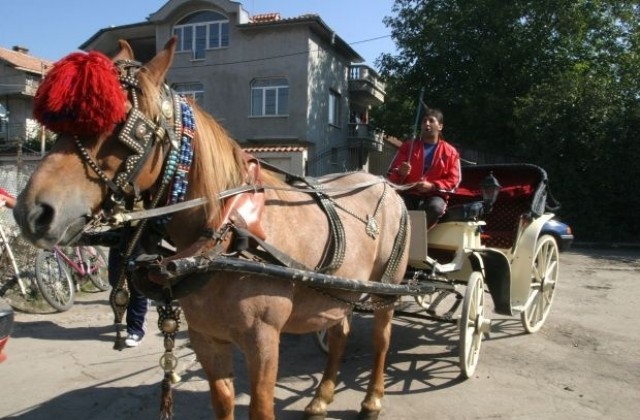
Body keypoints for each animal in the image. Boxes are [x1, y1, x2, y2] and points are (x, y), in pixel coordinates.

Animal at [13, 37, 410, 420]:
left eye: (125, 127)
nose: (30, 212)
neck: (227, 235)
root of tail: (389, 186)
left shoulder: (264, 341)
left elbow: (261, 409)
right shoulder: (207, 338)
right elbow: (222, 403)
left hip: (386, 288)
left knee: (381, 339)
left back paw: (372, 399)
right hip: (339, 292)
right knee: (340, 333)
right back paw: (321, 399)